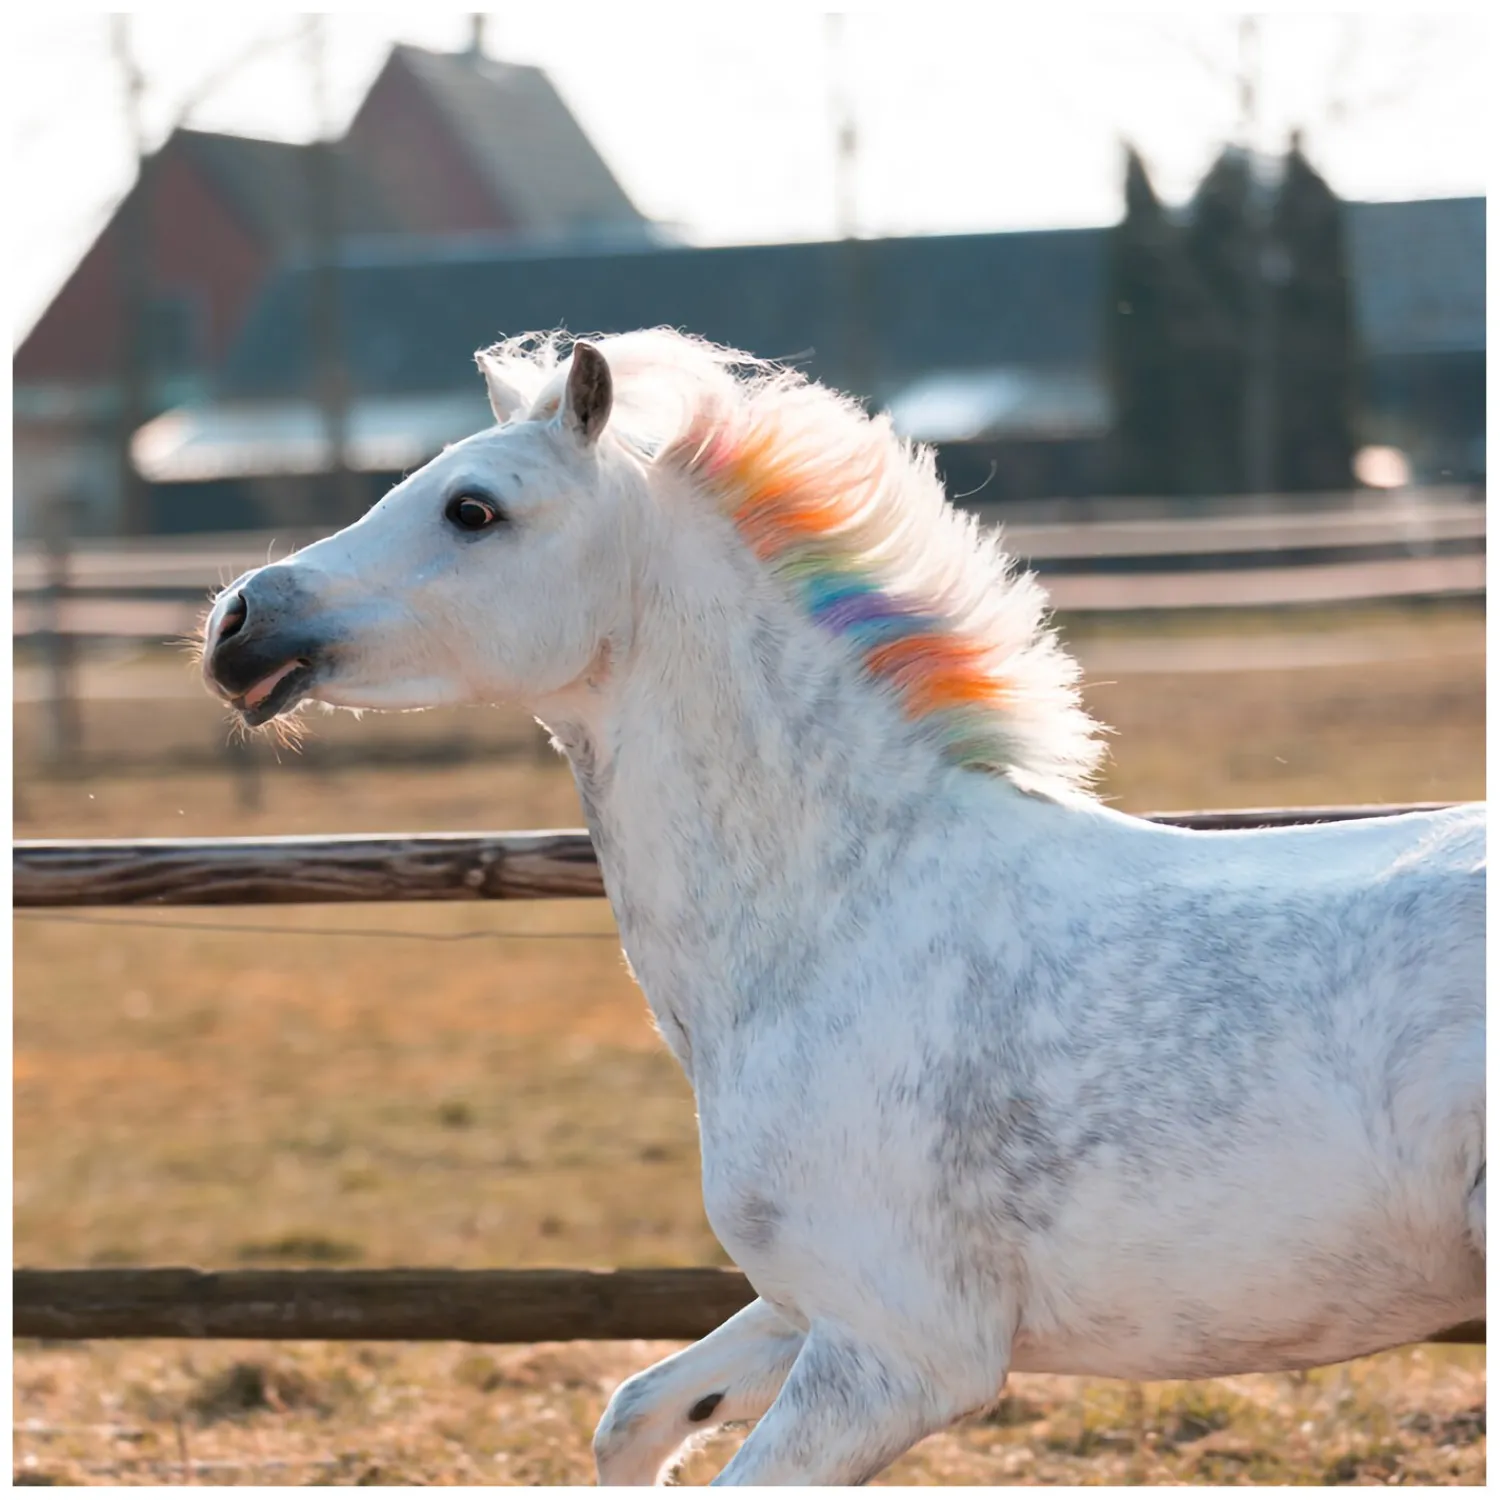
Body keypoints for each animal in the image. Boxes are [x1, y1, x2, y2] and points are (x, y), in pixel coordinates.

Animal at [201, 329, 1485, 1486]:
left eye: (473, 510)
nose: (236, 625)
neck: (844, 922)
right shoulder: (804, 1304)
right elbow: (633, 1416)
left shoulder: (903, 1354)